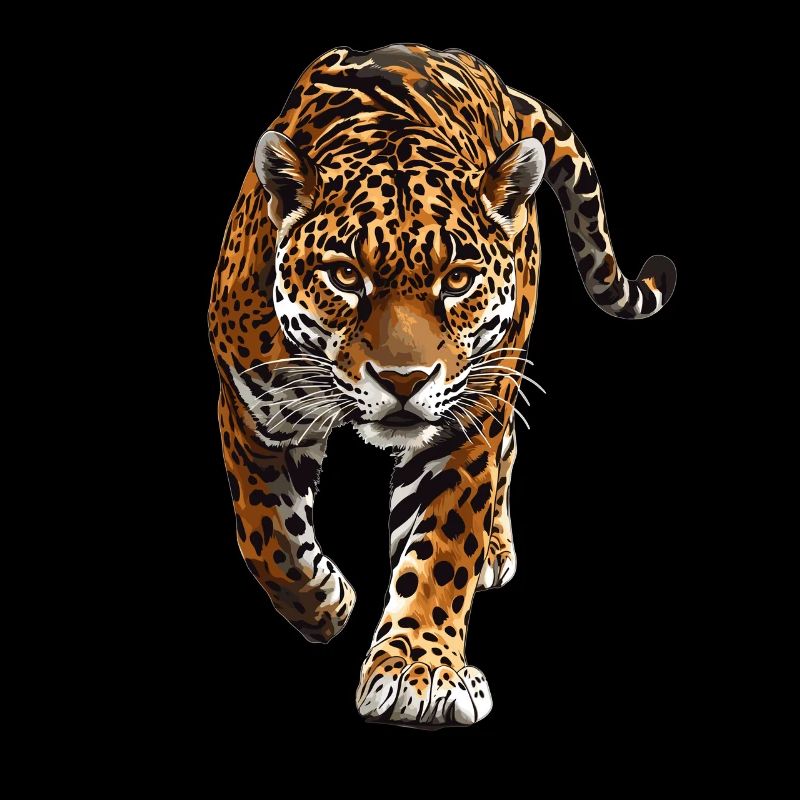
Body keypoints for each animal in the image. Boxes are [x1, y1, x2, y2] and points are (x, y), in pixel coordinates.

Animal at [208, 44, 676, 728]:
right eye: (344, 276)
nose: (403, 380)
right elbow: (265, 537)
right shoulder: (251, 411)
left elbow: (441, 550)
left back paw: (494, 551)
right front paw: (326, 605)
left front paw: (420, 672)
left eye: (457, 279)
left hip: (501, 368)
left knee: (507, 448)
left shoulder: (462, 428)